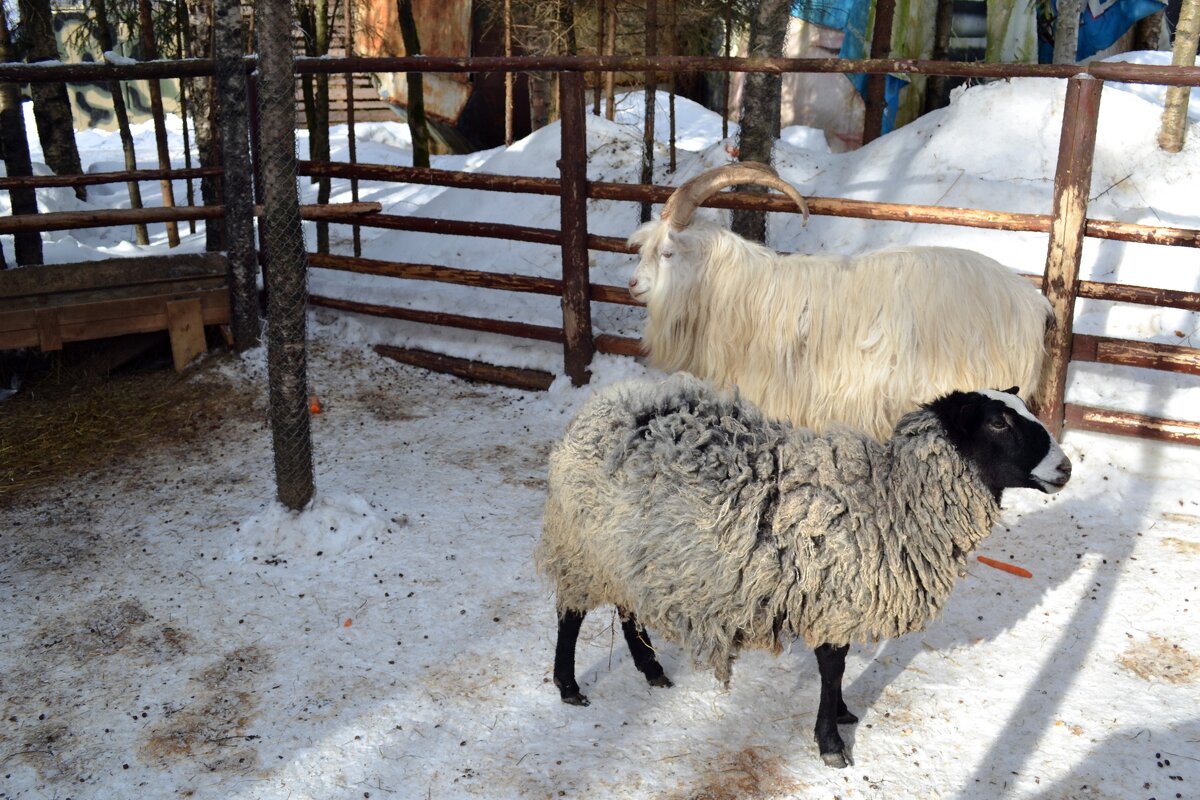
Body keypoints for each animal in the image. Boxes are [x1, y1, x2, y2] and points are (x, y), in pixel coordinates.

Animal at [535, 376, 1070, 767]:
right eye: (999, 422)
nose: (1064, 468)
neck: (891, 498)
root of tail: (604, 401)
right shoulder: (832, 598)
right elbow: (833, 669)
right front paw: (831, 742)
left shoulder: (839, 600)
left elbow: (838, 669)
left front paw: (843, 715)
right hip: (581, 549)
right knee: (571, 614)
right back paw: (569, 686)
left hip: (627, 552)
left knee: (629, 610)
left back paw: (651, 670)